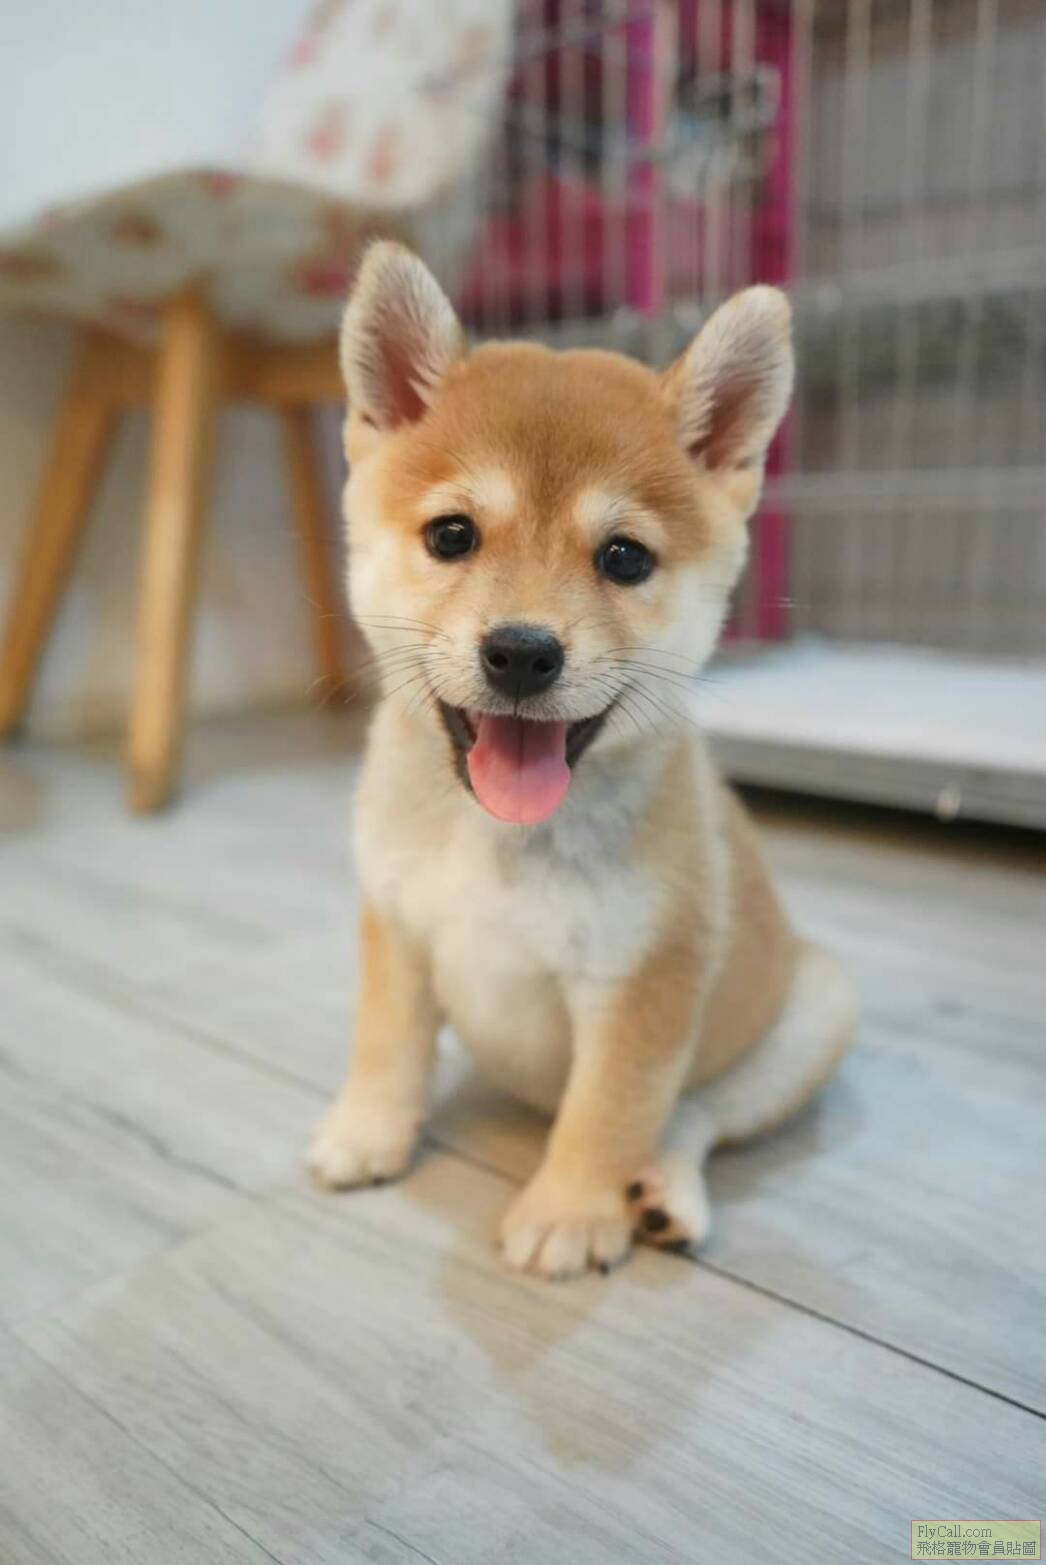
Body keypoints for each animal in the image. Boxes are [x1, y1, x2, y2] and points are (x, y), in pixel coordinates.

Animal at [308, 242, 857, 1279]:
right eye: (452, 535)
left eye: (624, 558)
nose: (523, 651)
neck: (495, 841)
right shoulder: (396, 927)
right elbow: (385, 1046)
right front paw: (369, 1131)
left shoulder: (645, 983)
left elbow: (612, 1110)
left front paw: (568, 1207)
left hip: (810, 1016)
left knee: (695, 1116)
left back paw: (664, 1193)